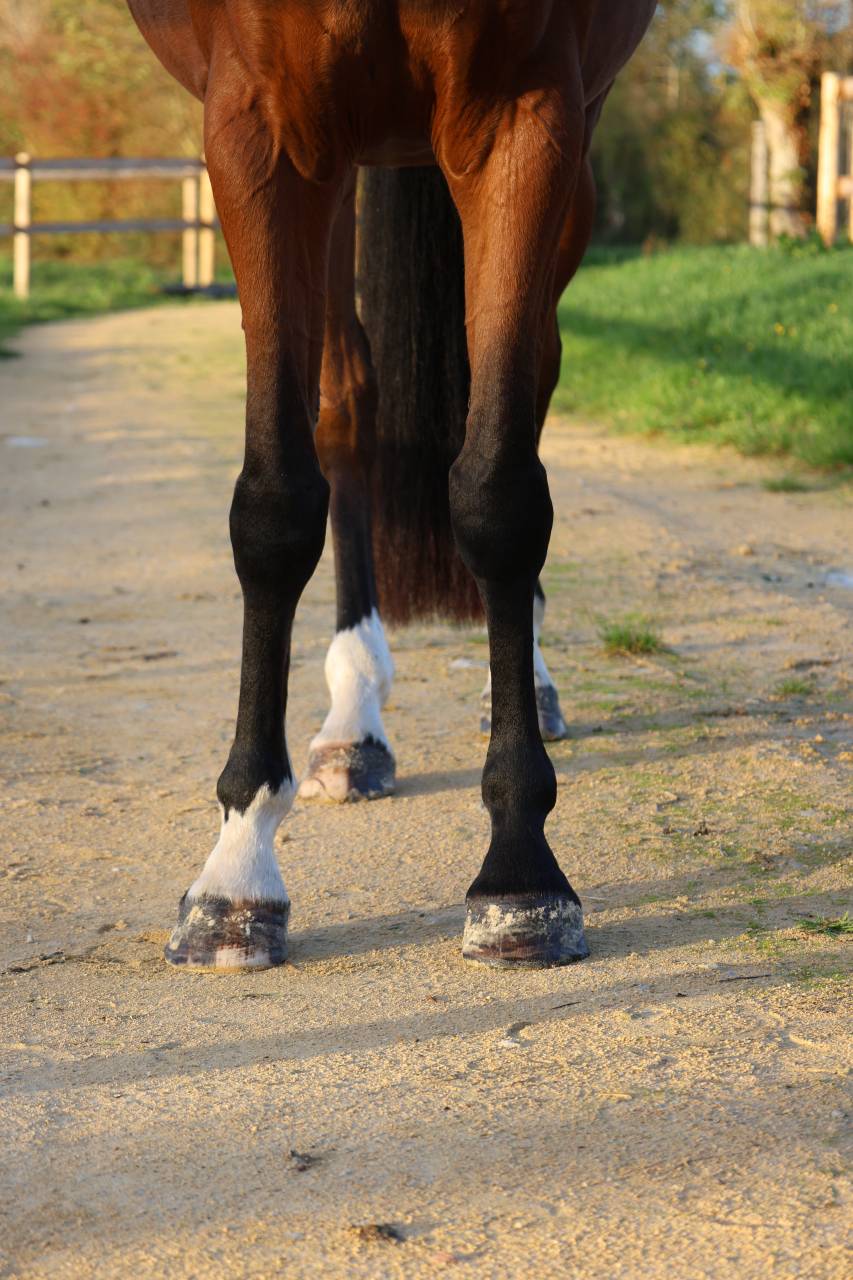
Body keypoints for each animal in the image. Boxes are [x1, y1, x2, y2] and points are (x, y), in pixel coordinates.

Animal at [127, 0, 656, 971]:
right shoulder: (260, 126)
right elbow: (274, 502)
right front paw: (237, 869)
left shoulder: (526, 111)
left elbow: (497, 493)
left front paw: (520, 872)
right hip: (338, 159)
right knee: (345, 409)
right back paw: (353, 716)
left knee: (527, 382)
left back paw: (523, 678)